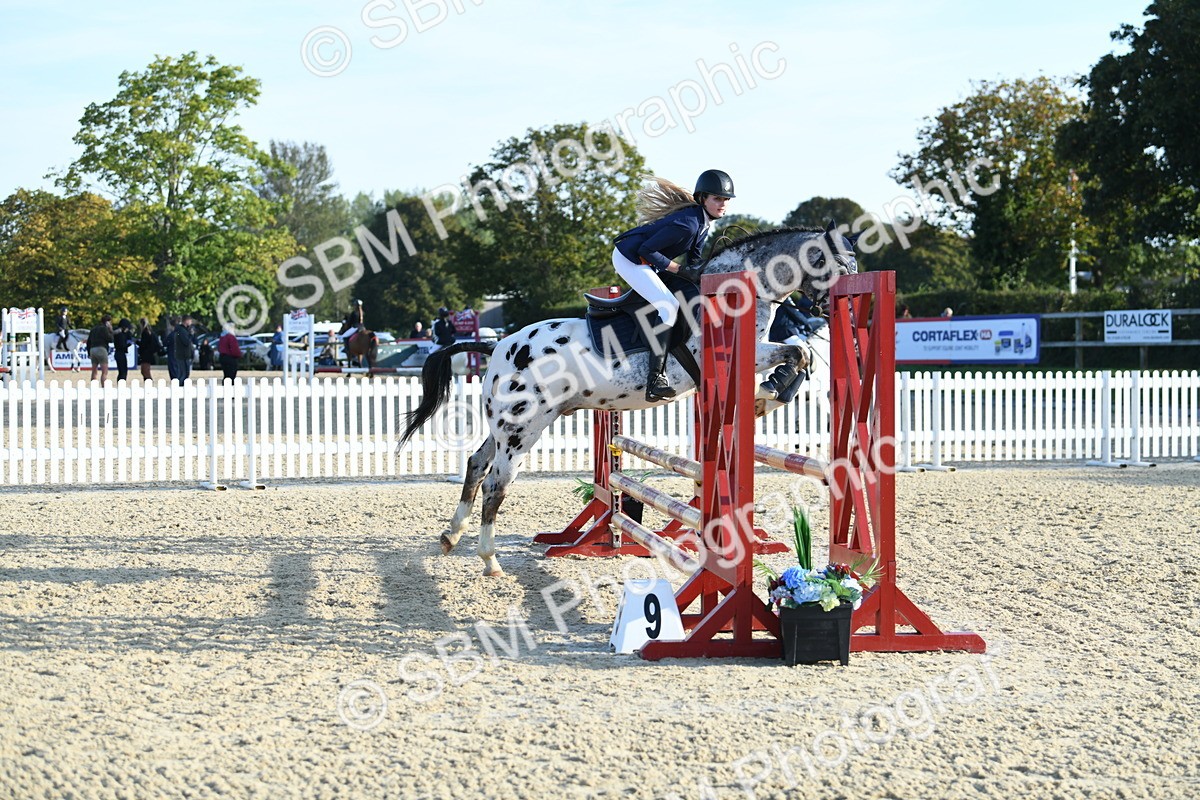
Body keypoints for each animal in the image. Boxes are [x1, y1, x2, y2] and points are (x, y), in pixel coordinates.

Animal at [399, 225, 859, 575]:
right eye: (841, 265)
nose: (846, 315)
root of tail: (497, 347)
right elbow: (798, 351)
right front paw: (769, 393)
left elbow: (799, 353)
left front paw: (770, 392)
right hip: (522, 430)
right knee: (496, 483)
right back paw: (490, 560)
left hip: (506, 428)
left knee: (476, 465)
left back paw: (451, 536)